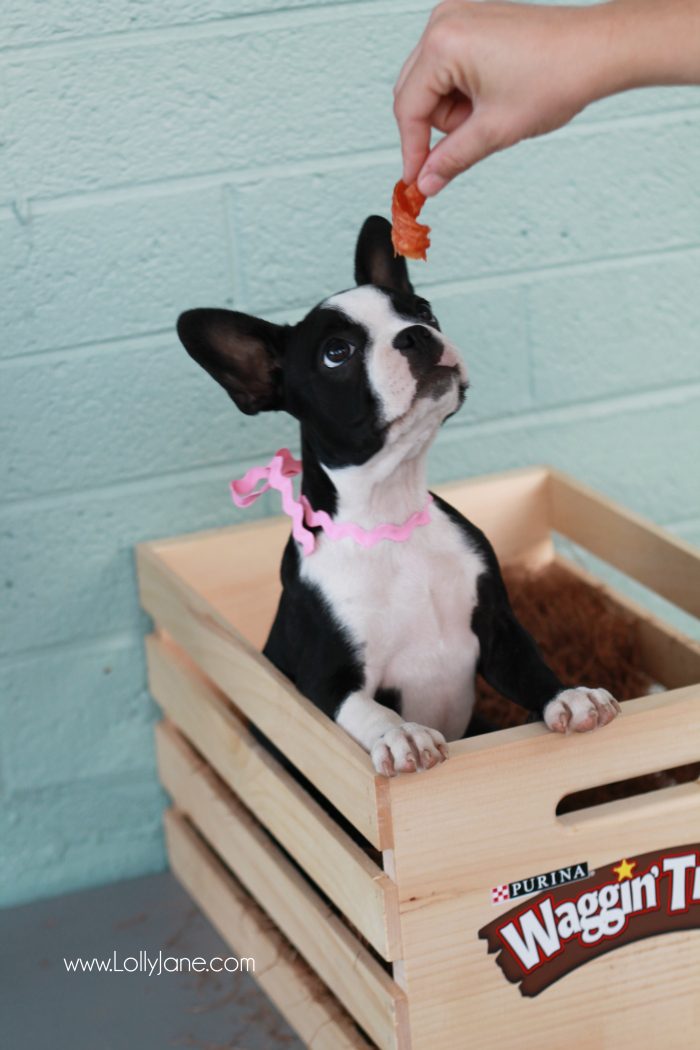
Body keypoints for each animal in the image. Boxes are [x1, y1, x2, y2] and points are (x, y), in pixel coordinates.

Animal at [178, 213, 621, 776]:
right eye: (336, 353)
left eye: (424, 310)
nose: (416, 335)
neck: (390, 514)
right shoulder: (324, 681)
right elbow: (366, 708)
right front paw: (402, 733)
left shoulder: (496, 631)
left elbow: (531, 666)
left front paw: (568, 695)